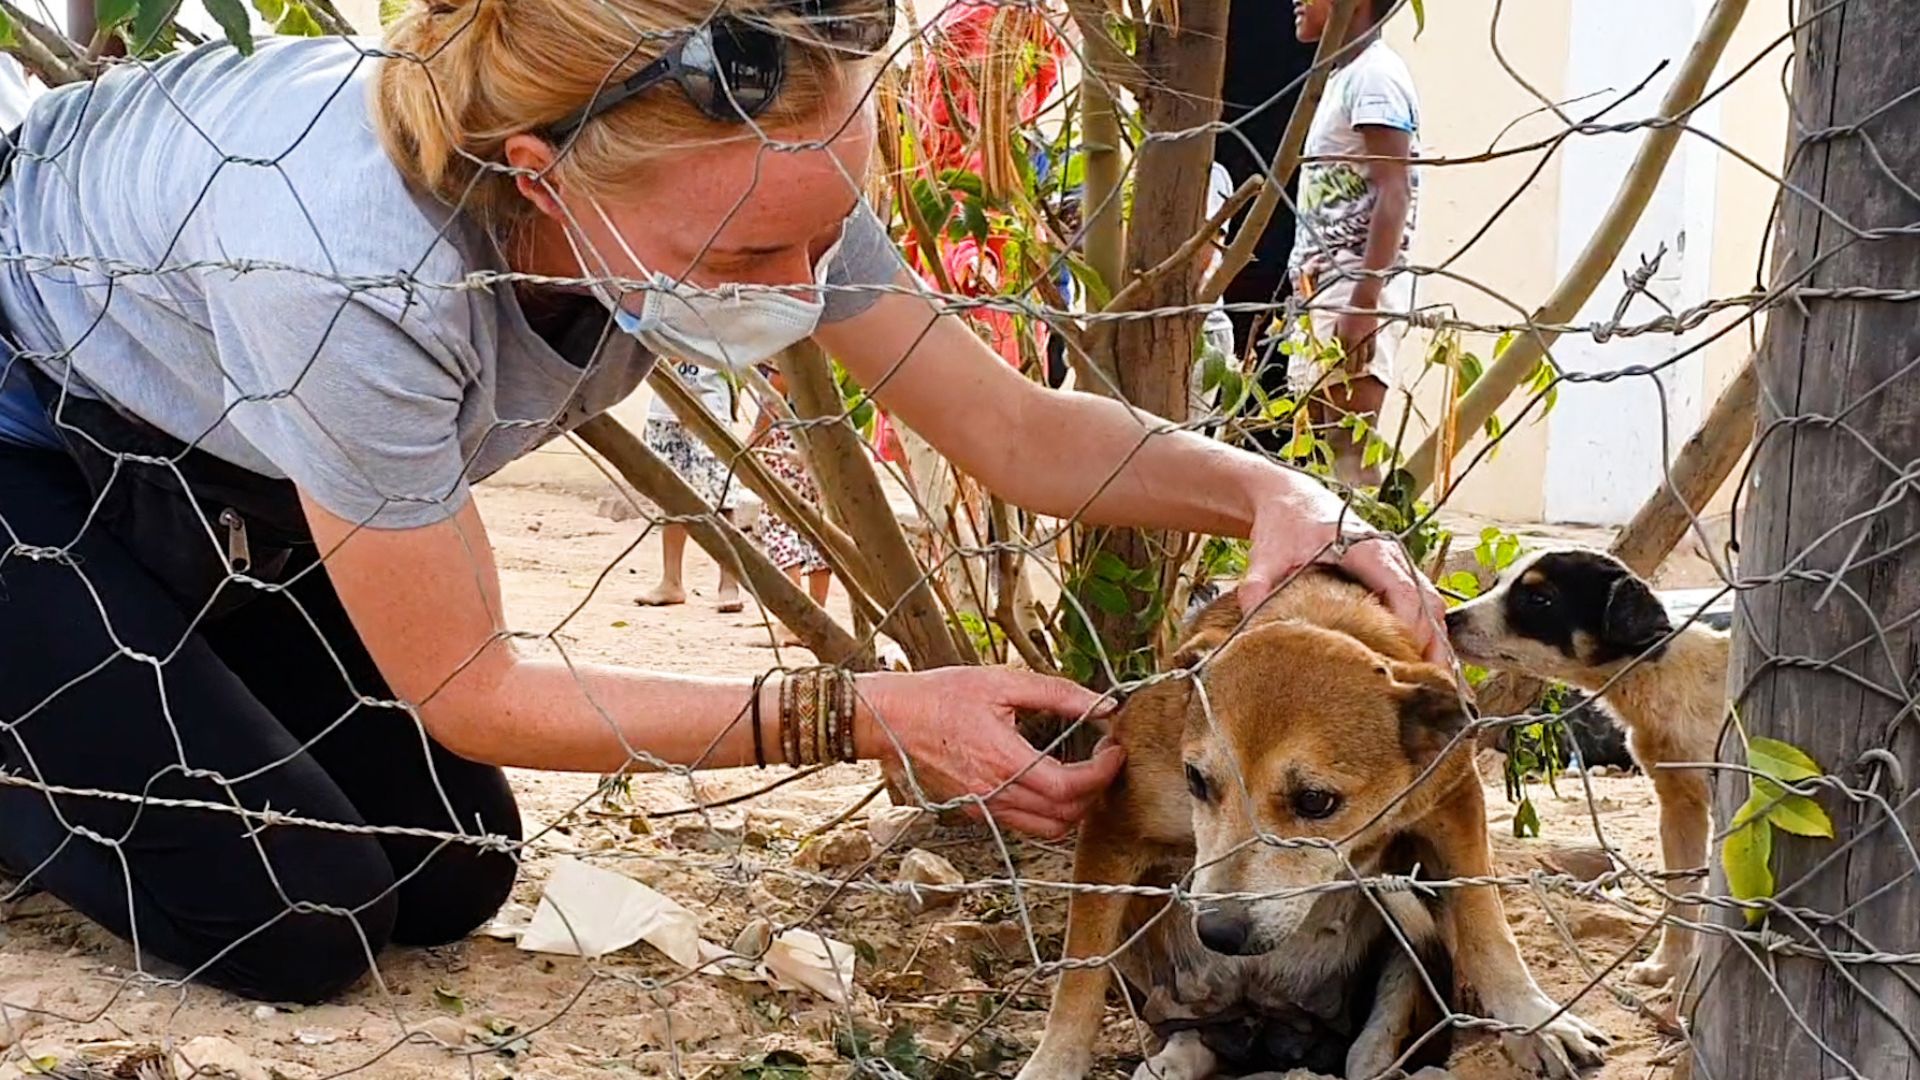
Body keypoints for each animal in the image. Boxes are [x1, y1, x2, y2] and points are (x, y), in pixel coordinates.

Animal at [1021, 568, 1605, 1068]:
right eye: (1196, 780)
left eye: (1315, 802)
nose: (1218, 932)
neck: (1317, 616)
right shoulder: (1115, 823)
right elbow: (1080, 974)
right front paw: (1053, 1063)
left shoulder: (1454, 800)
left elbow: (1486, 923)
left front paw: (1533, 1019)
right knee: (1188, 1029)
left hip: (1400, 913)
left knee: (1376, 1039)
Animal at [1443, 549, 1735, 991]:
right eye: (1499, 582)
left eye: (1540, 599)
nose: (1449, 617)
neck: (1661, 675)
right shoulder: (1679, 805)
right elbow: (1681, 894)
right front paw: (1667, 966)